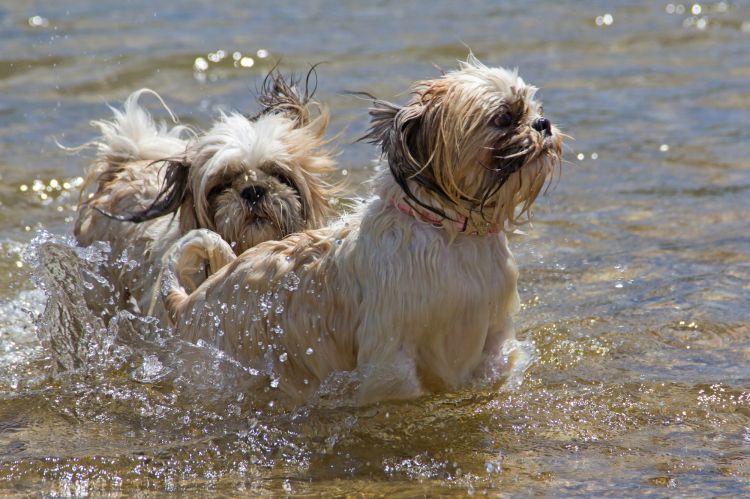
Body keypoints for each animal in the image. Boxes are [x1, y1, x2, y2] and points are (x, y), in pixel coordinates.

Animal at [163, 54, 564, 408]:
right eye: (504, 117)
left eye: (533, 108)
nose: (543, 123)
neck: (451, 237)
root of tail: (189, 301)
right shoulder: (390, 353)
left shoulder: (494, 338)